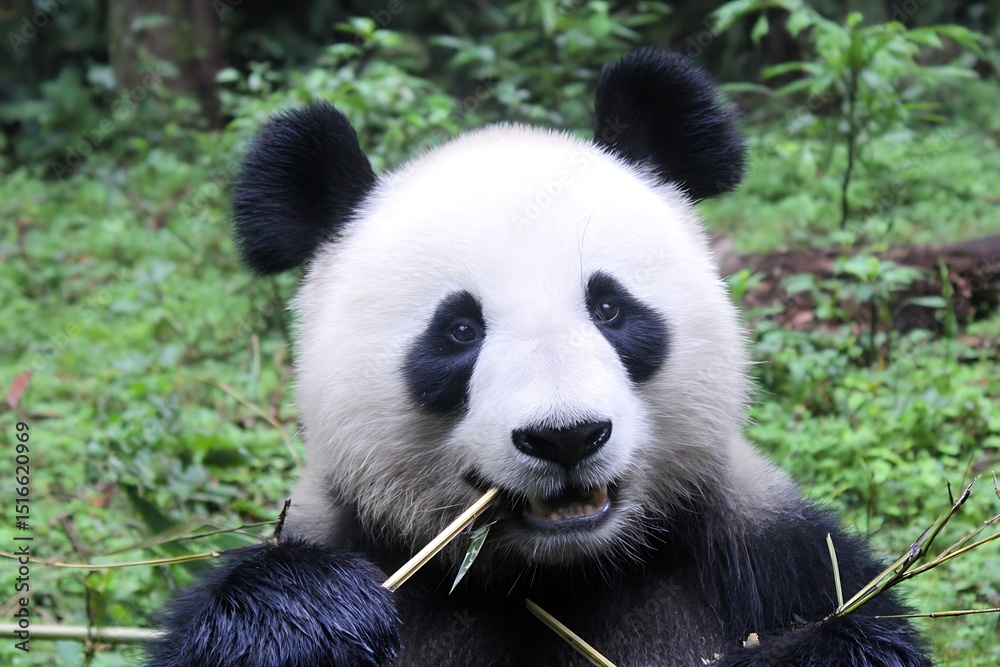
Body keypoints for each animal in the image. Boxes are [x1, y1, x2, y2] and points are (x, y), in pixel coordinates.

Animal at [146, 48, 930, 666]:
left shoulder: (770, 555)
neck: (559, 576)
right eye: (460, 330)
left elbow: (853, 630)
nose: (566, 437)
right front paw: (309, 615)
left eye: (609, 308)